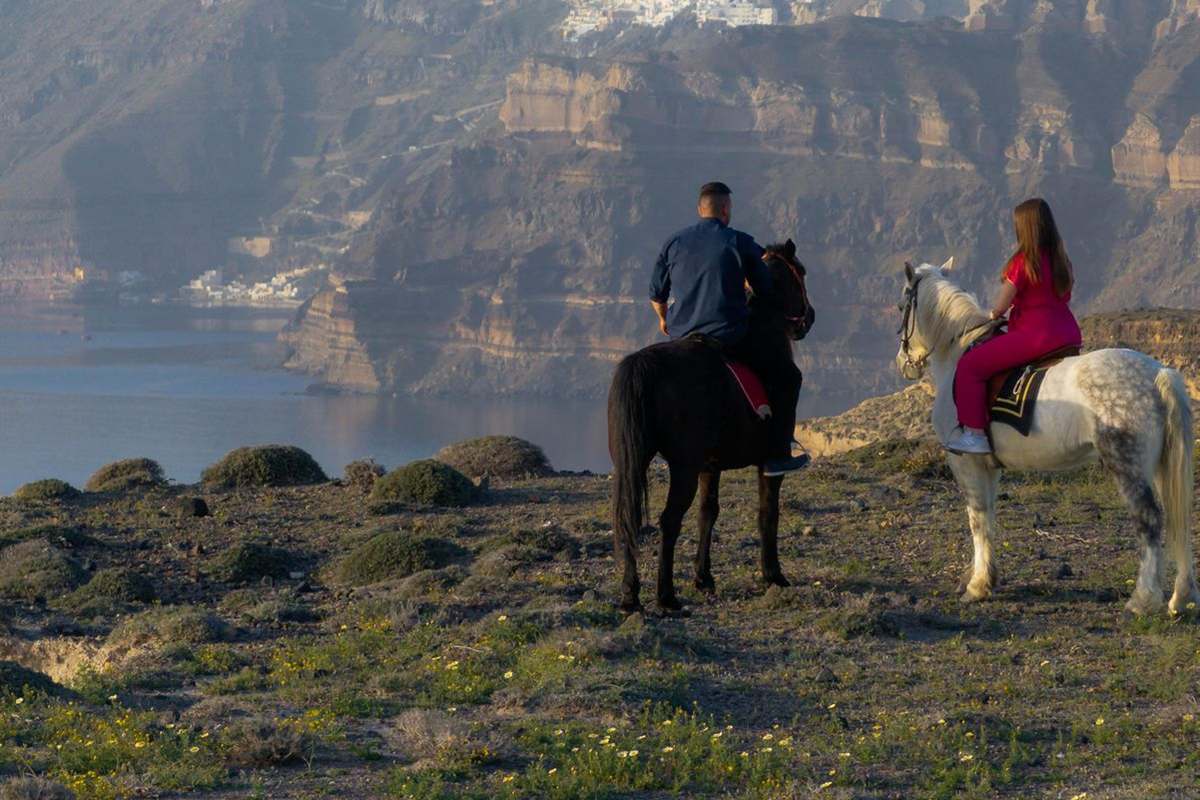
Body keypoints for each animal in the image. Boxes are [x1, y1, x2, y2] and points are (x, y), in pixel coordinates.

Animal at [607, 240, 815, 613]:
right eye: (800, 273)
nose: (809, 318)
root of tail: (643, 365)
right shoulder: (767, 463)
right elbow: (768, 512)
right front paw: (773, 575)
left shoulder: (710, 466)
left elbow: (708, 512)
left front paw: (703, 578)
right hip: (683, 468)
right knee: (669, 521)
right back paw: (666, 595)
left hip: (634, 462)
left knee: (628, 518)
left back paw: (631, 595)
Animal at [896, 259, 1199, 615]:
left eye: (902, 306)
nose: (904, 364)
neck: (958, 353)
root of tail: (1157, 373)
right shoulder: (988, 467)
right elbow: (989, 516)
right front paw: (985, 577)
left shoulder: (965, 462)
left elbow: (977, 519)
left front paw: (977, 586)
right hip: (1162, 464)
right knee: (1177, 519)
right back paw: (1181, 596)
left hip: (1129, 467)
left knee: (1149, 520)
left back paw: (1143, 599)